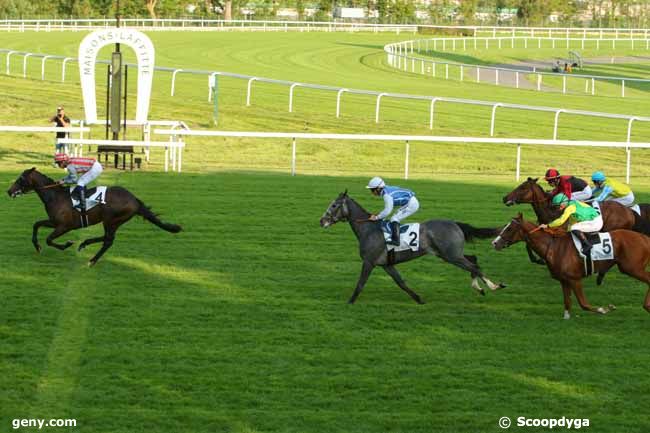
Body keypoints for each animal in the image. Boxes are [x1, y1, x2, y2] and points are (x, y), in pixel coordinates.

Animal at [6, 167, 182, 264]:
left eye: (20, 179)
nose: (8, 191)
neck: (55, 196)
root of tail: (134, 200)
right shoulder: (54, 222)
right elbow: (36, 224)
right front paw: (37, 246)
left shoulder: (64, 226)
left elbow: (49, 239)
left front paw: (67, 244)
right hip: (112, 221)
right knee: (107, 238)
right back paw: (85, 245)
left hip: (111, 220)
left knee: (108, 240)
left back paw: (91, 259)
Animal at [318, 191, 506, 306]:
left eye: (334, 205)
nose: (322, 221)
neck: (369, 230)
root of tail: (455, 223)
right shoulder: (387, 264)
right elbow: (401, 282)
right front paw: (419, 299)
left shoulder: (369, 262)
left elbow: (361, 283)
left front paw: (350, 301)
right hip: (448, 254)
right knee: (474, 260)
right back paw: (479, 287)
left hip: (451, 255)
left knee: (473, 265)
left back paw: (493, 286)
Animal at [492, 213, 648, 318]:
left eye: (509, 229)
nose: (495, 243)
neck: (554, 247)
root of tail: (644, 238)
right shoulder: (564, 280)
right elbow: (567, 302)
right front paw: (566, 317)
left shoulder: (575, 279)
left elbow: (584, 304)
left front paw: (605, 309)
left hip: (632, 268)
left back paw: (647, 306)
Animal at [502, 176, 648, 264]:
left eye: (523, 188)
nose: (504, 198)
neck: (552, 210)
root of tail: (629, 211)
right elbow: (528, 244)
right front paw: (537, 259)